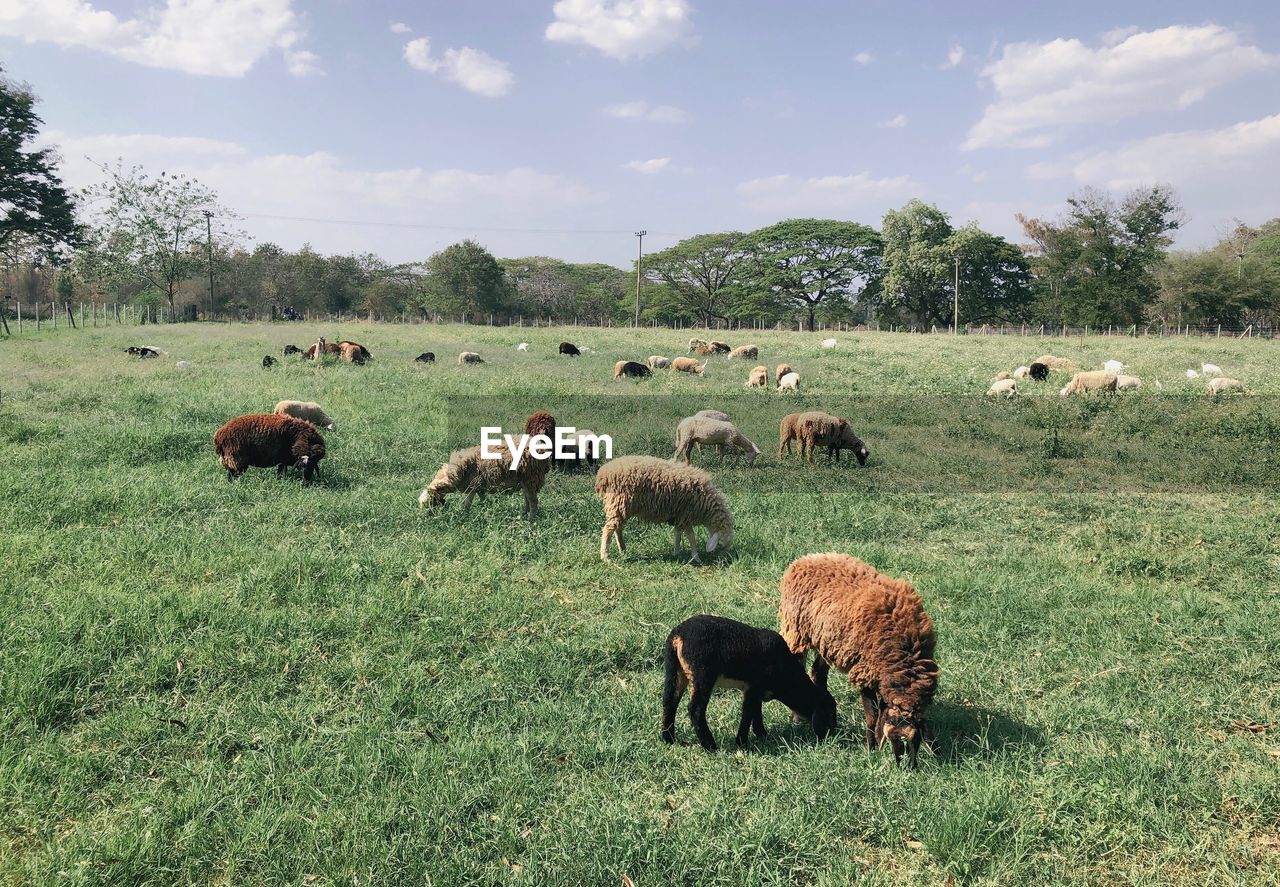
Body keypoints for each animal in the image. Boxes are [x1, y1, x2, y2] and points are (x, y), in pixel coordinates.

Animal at [591, 453, 732, 563]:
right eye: (720, 544)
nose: (724, 559)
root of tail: (603, 474)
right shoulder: (686, 514)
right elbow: (691, 537)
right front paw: (696, 557)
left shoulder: (679, 516)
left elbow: (677, 534)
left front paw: (676, 553)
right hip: (619, 503)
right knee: (608, 529)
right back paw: (606, 557)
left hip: (620, 507)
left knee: (617, 528)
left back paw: (623, 550)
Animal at [773, 550, 936, 762]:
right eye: (893, 739)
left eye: (913, 742)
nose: (902, 765)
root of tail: (806, 558)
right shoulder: (865, 671)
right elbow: (872, 715)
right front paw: (871, 748)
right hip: (795, 628)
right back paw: (798, 718)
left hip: (827, 641)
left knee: (817, 671)